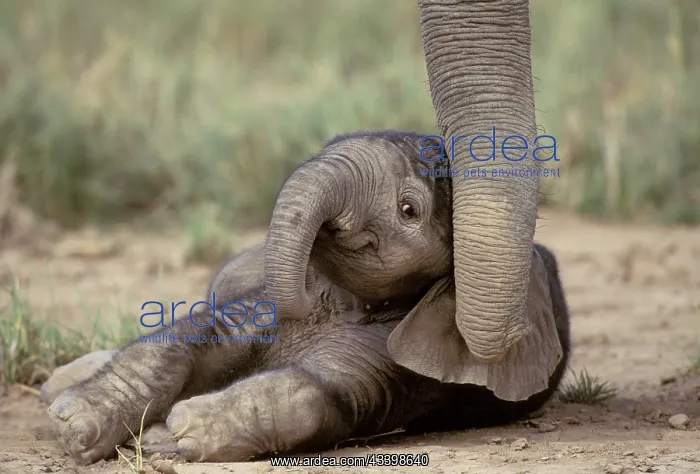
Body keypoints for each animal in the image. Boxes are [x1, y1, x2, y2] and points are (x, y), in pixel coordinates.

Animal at [44, 129, 570, 464]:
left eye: (408, 210)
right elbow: (186, 338)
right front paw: (73, 424)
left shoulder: (401, 361)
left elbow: (316, 393)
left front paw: (178, 432)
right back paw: (57, 385)